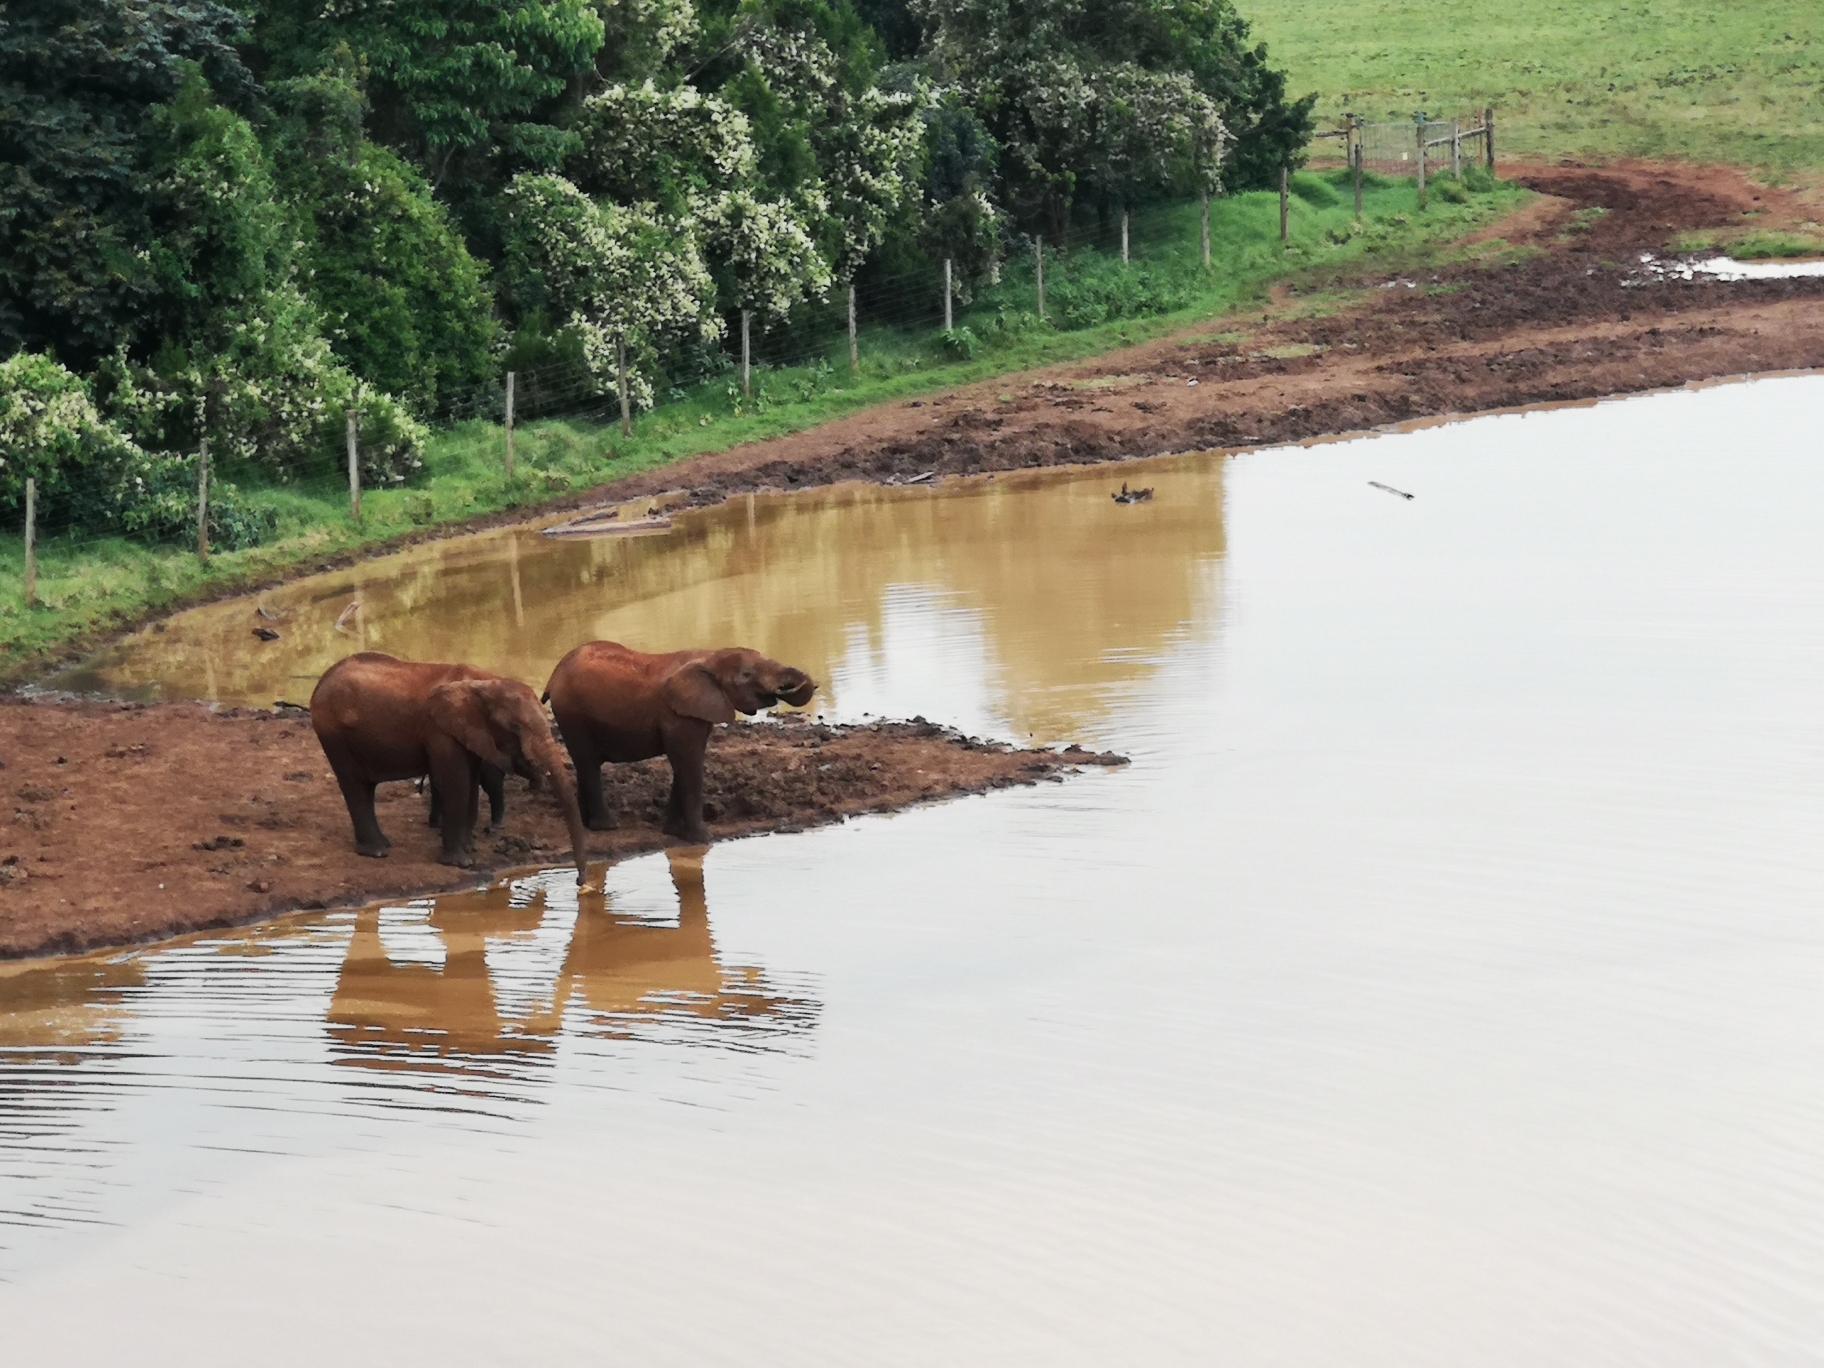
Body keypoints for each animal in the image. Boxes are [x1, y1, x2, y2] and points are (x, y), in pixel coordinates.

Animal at [310, 656, 587, 890]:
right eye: (515, 727)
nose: (580, 883)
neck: (486, 682)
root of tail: (322, 680)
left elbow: (471, 784)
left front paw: (470, 848)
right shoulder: (440, 731)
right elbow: (458, 783)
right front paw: (460, 863)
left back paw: (381, 846)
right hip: (333, 733)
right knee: (355, 784)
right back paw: (377, 852)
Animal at [536, 642, 817, 846]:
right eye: (747, 674)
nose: (795, 687)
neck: (710, 656)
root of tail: (552, 677)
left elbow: (684, 765)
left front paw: (672, 832)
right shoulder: (677, 716)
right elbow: (689, 763)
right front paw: (702, 840)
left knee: (584, 763)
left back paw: (587, 823)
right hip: (571, 712)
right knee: (587, 763)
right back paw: (606, 827)